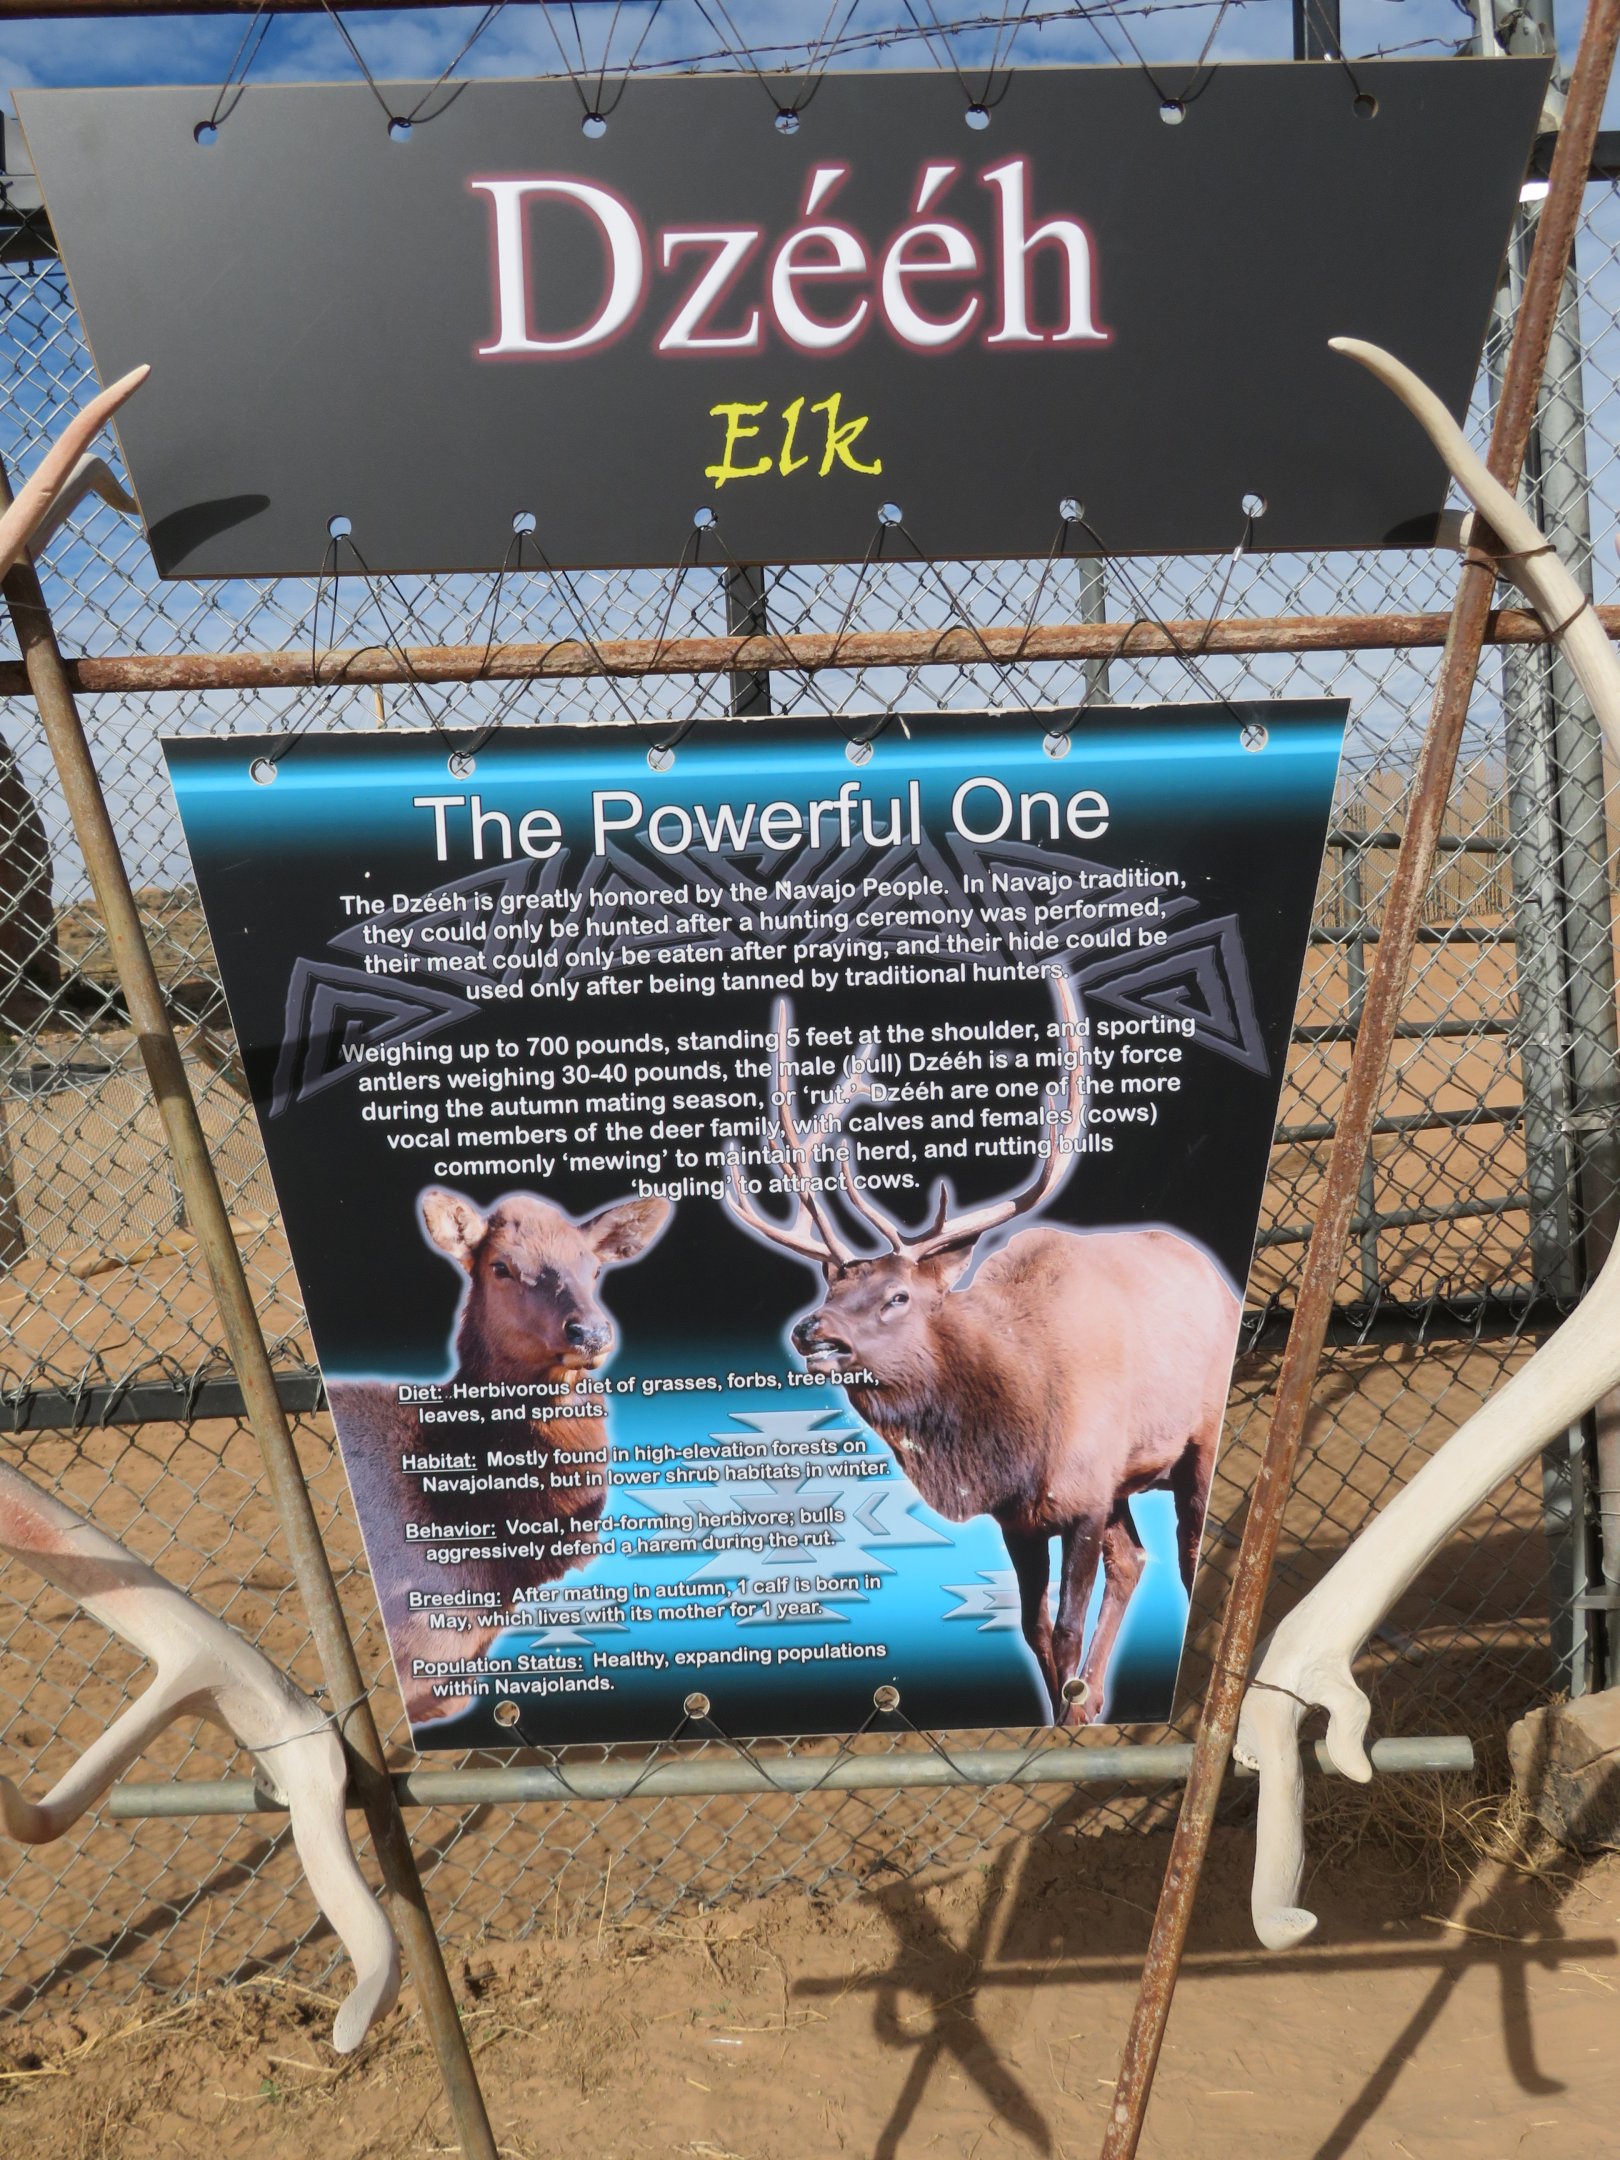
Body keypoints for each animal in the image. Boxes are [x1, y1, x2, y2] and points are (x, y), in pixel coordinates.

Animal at [722, 972, 1241, 1725]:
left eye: (897, 1297)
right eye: (831, 1287)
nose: (810, 1332)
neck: (1006, 1439)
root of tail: (1221, 1282)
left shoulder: (1084, 1492)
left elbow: (1064, 1626)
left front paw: (1069, 1714)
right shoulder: (1023, 1517)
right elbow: (1033, 1631)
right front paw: (1064, 1710)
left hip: (1193, 1440)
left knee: (1185, 1549)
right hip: (1126, 1479)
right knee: (1133, 1562)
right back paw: (1096, 1700)